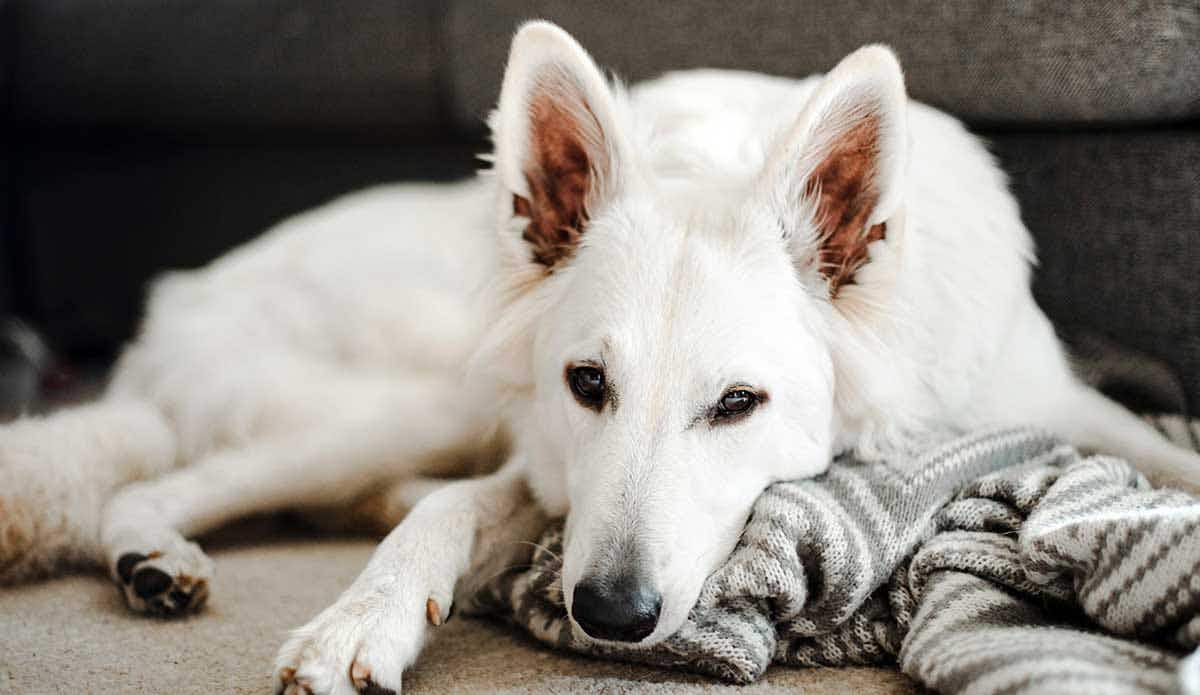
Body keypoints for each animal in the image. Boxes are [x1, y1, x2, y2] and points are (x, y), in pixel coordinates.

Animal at [2, 21, 1200, 695]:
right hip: (410, 399)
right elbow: (454, 512)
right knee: (161, 479)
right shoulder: (545, 460)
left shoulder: (1062, 406)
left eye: (738, 402)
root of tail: (176, 299)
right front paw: (362, 616)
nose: (611, 614)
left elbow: (1171, 459)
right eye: (589, 384)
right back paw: (154, 552)